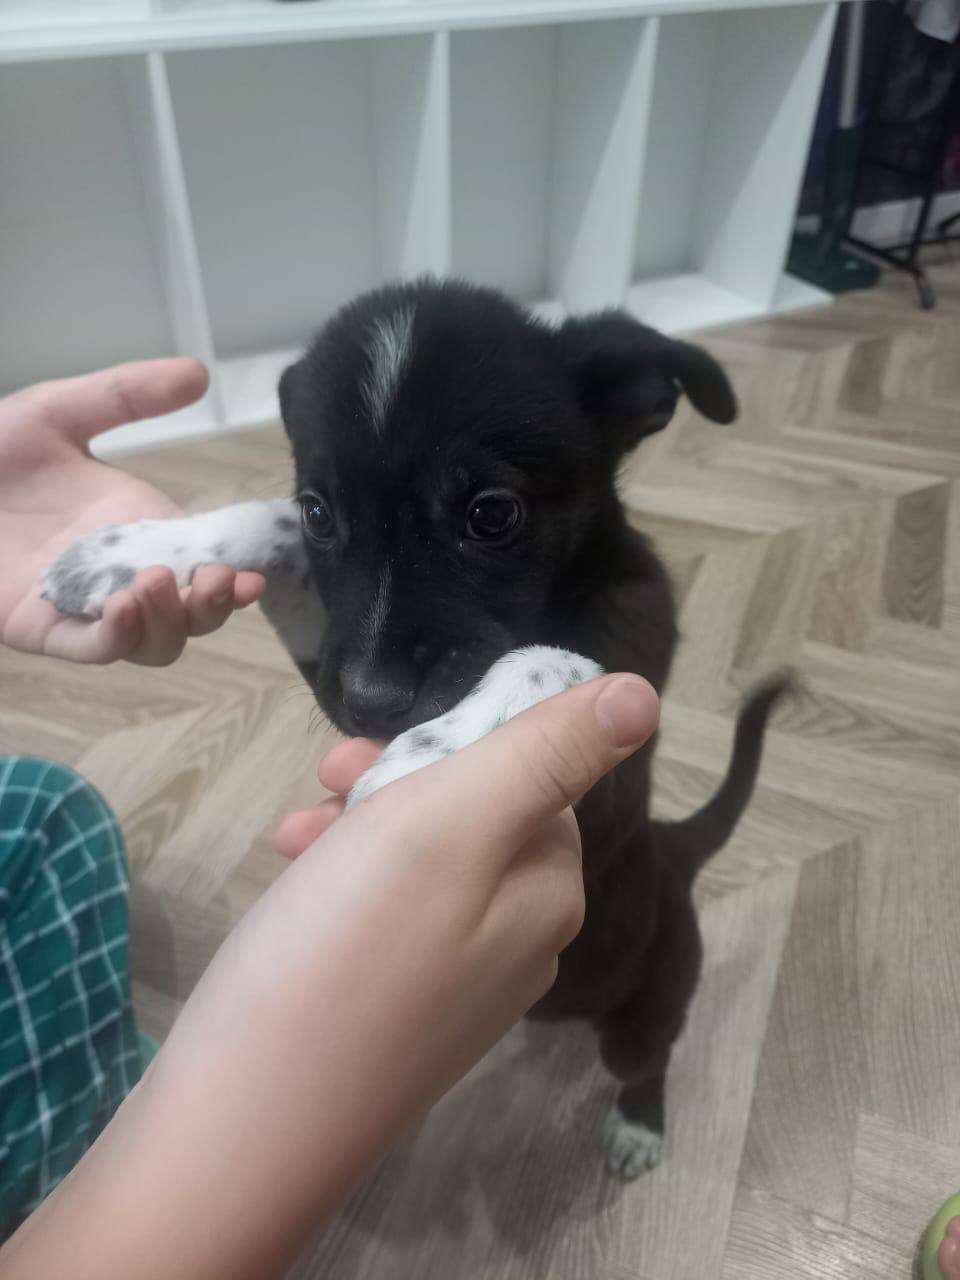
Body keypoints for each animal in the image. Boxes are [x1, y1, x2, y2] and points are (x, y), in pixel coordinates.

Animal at [43, 278, 785, 1179]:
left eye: (492, 514)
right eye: (320, 510)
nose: (371, 704)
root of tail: (675, 854)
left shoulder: (619, 716)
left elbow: (552, 659)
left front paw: (424, 764)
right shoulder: (327, 653)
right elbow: (267, 523)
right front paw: (129, 554)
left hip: (647, 998)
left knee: (650, 1057)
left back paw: (640, 1124)